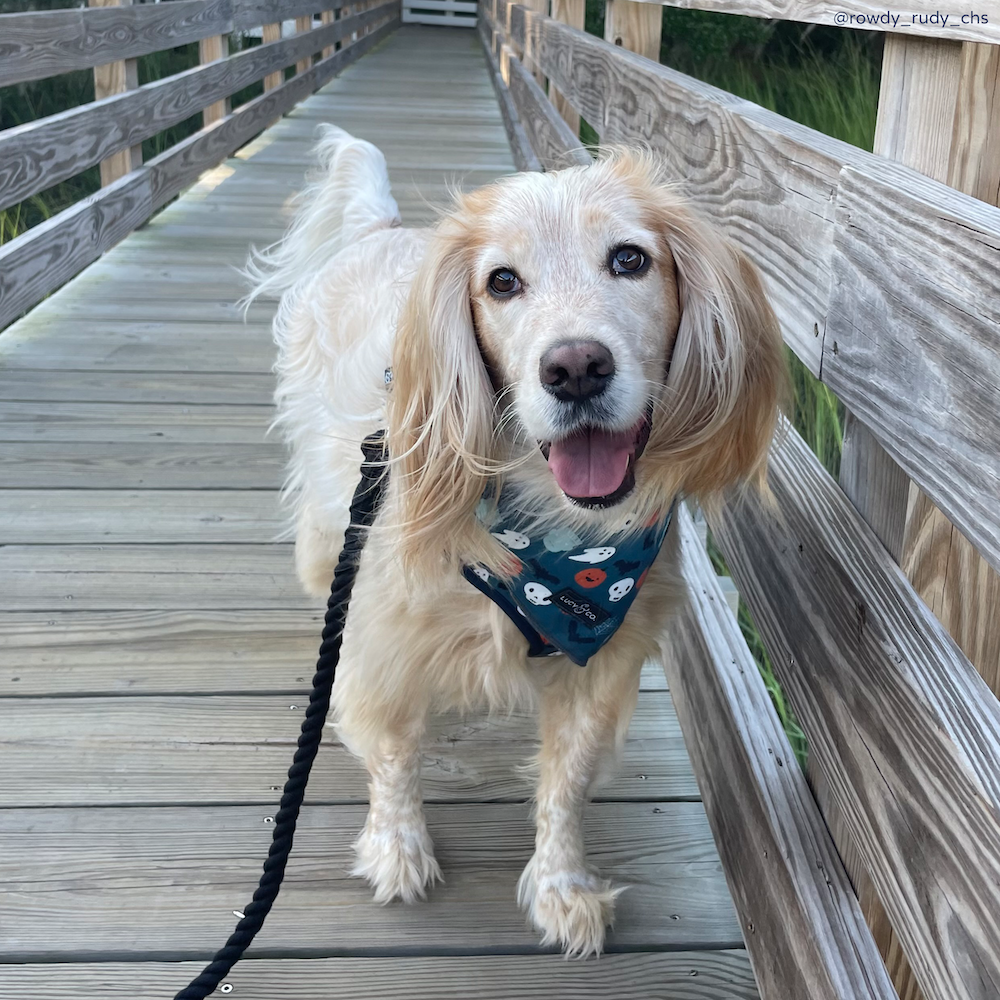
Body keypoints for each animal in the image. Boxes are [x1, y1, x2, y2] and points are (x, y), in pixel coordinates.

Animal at [246, 125, 784, 952]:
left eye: (630, 259)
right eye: (501, 282)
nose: (576, 367)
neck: (561, 550)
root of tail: (381, 227)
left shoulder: (605, 664)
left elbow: (567, 780)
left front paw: (564, 887)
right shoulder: (385, 641)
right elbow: (393, 753)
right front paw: (398, 848)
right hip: (325, 517)